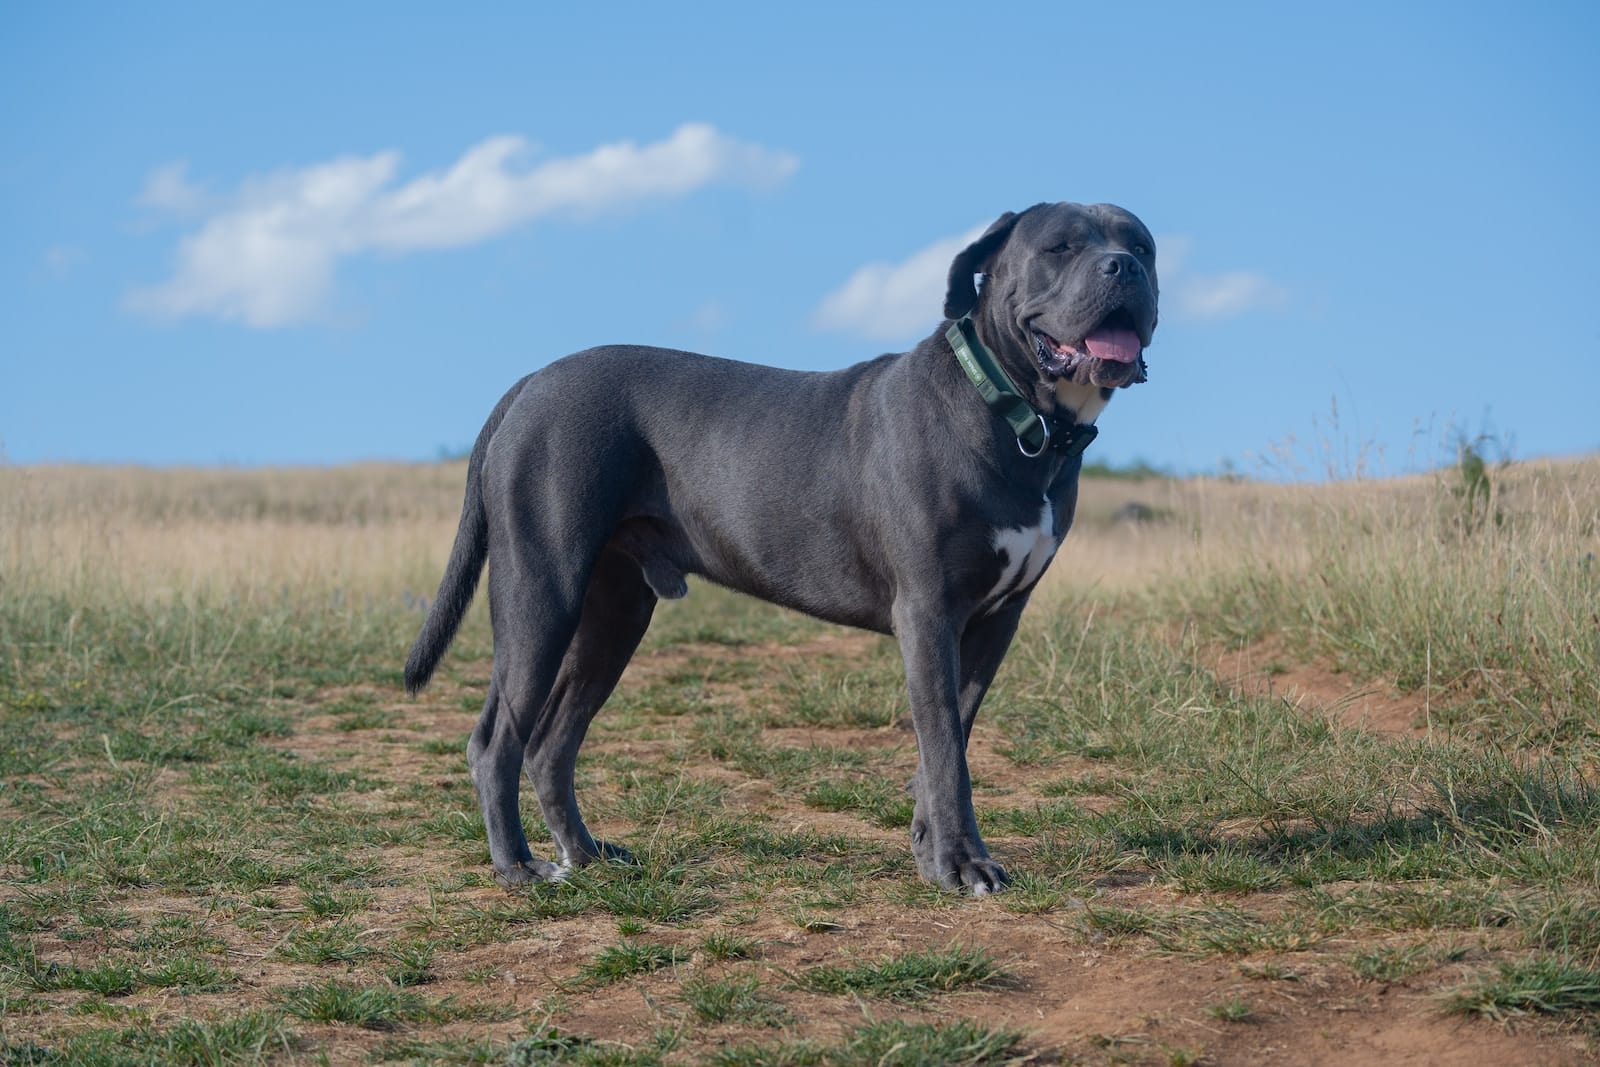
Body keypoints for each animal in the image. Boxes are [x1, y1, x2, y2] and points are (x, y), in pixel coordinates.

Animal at [406, 199, 1158, 895]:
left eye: (1143, 245)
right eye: (1059, 247)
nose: (1124, 267)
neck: (1012, 413)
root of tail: (531, 382)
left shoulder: (997, 620)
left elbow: (948, 741)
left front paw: (928, 848)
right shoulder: (929, 612)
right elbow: (945, 746)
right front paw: (960, 863)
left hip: (615, 611)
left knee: (552, 743)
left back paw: (587, 854)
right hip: (541, 592)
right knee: (497, 739)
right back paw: (516, 865)